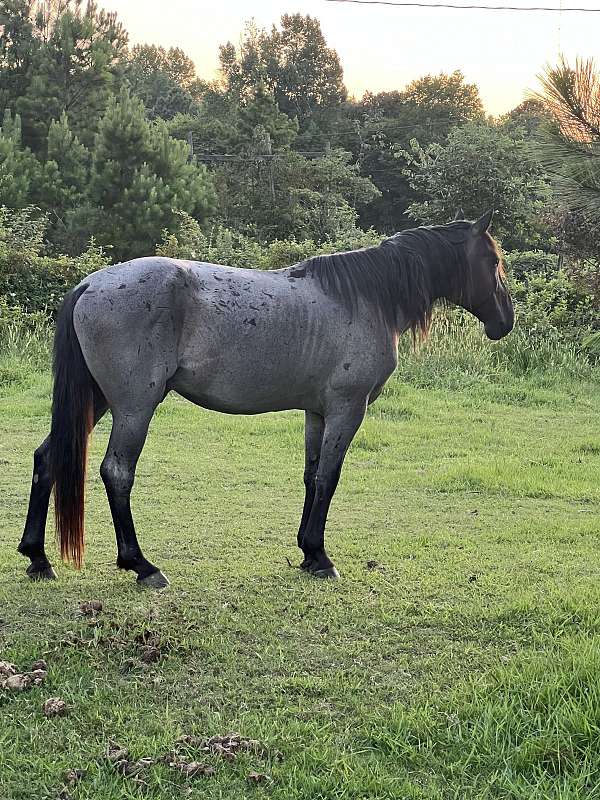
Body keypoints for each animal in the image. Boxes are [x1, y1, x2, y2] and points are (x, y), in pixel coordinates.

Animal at [19, 211, 516, 588]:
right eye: (492, 260)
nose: (505, 321)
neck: (365, 298)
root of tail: (90, 285)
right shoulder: (347, 410)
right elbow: (329, 478)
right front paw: (321, 557)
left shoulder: (318, 412)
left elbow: (312, 477)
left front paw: (308, 553)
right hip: (133, 408)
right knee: (117, 472)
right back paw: (142, 565)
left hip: (96, 401)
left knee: (48, 457)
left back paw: (37, 558)